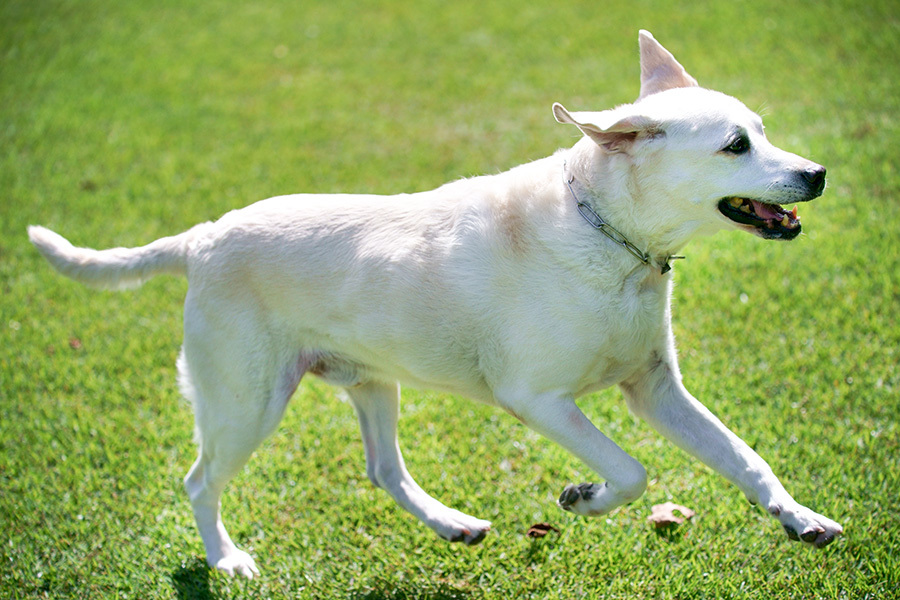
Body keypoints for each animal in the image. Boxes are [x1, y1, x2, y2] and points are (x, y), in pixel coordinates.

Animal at [28, 31, 844, 576]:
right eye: (735, 145)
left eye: (763, 130)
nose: (819, 173)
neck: (612, 237)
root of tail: (201, 238)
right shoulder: (539, 400)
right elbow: (633, 470)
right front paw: (584, 497)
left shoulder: (657, 389)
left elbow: (745, 459)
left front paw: (799, 518)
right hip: (244, 403)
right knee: (200, 481)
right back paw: (227, 559)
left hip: (369, 384)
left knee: (384, 471)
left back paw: (450, 525)